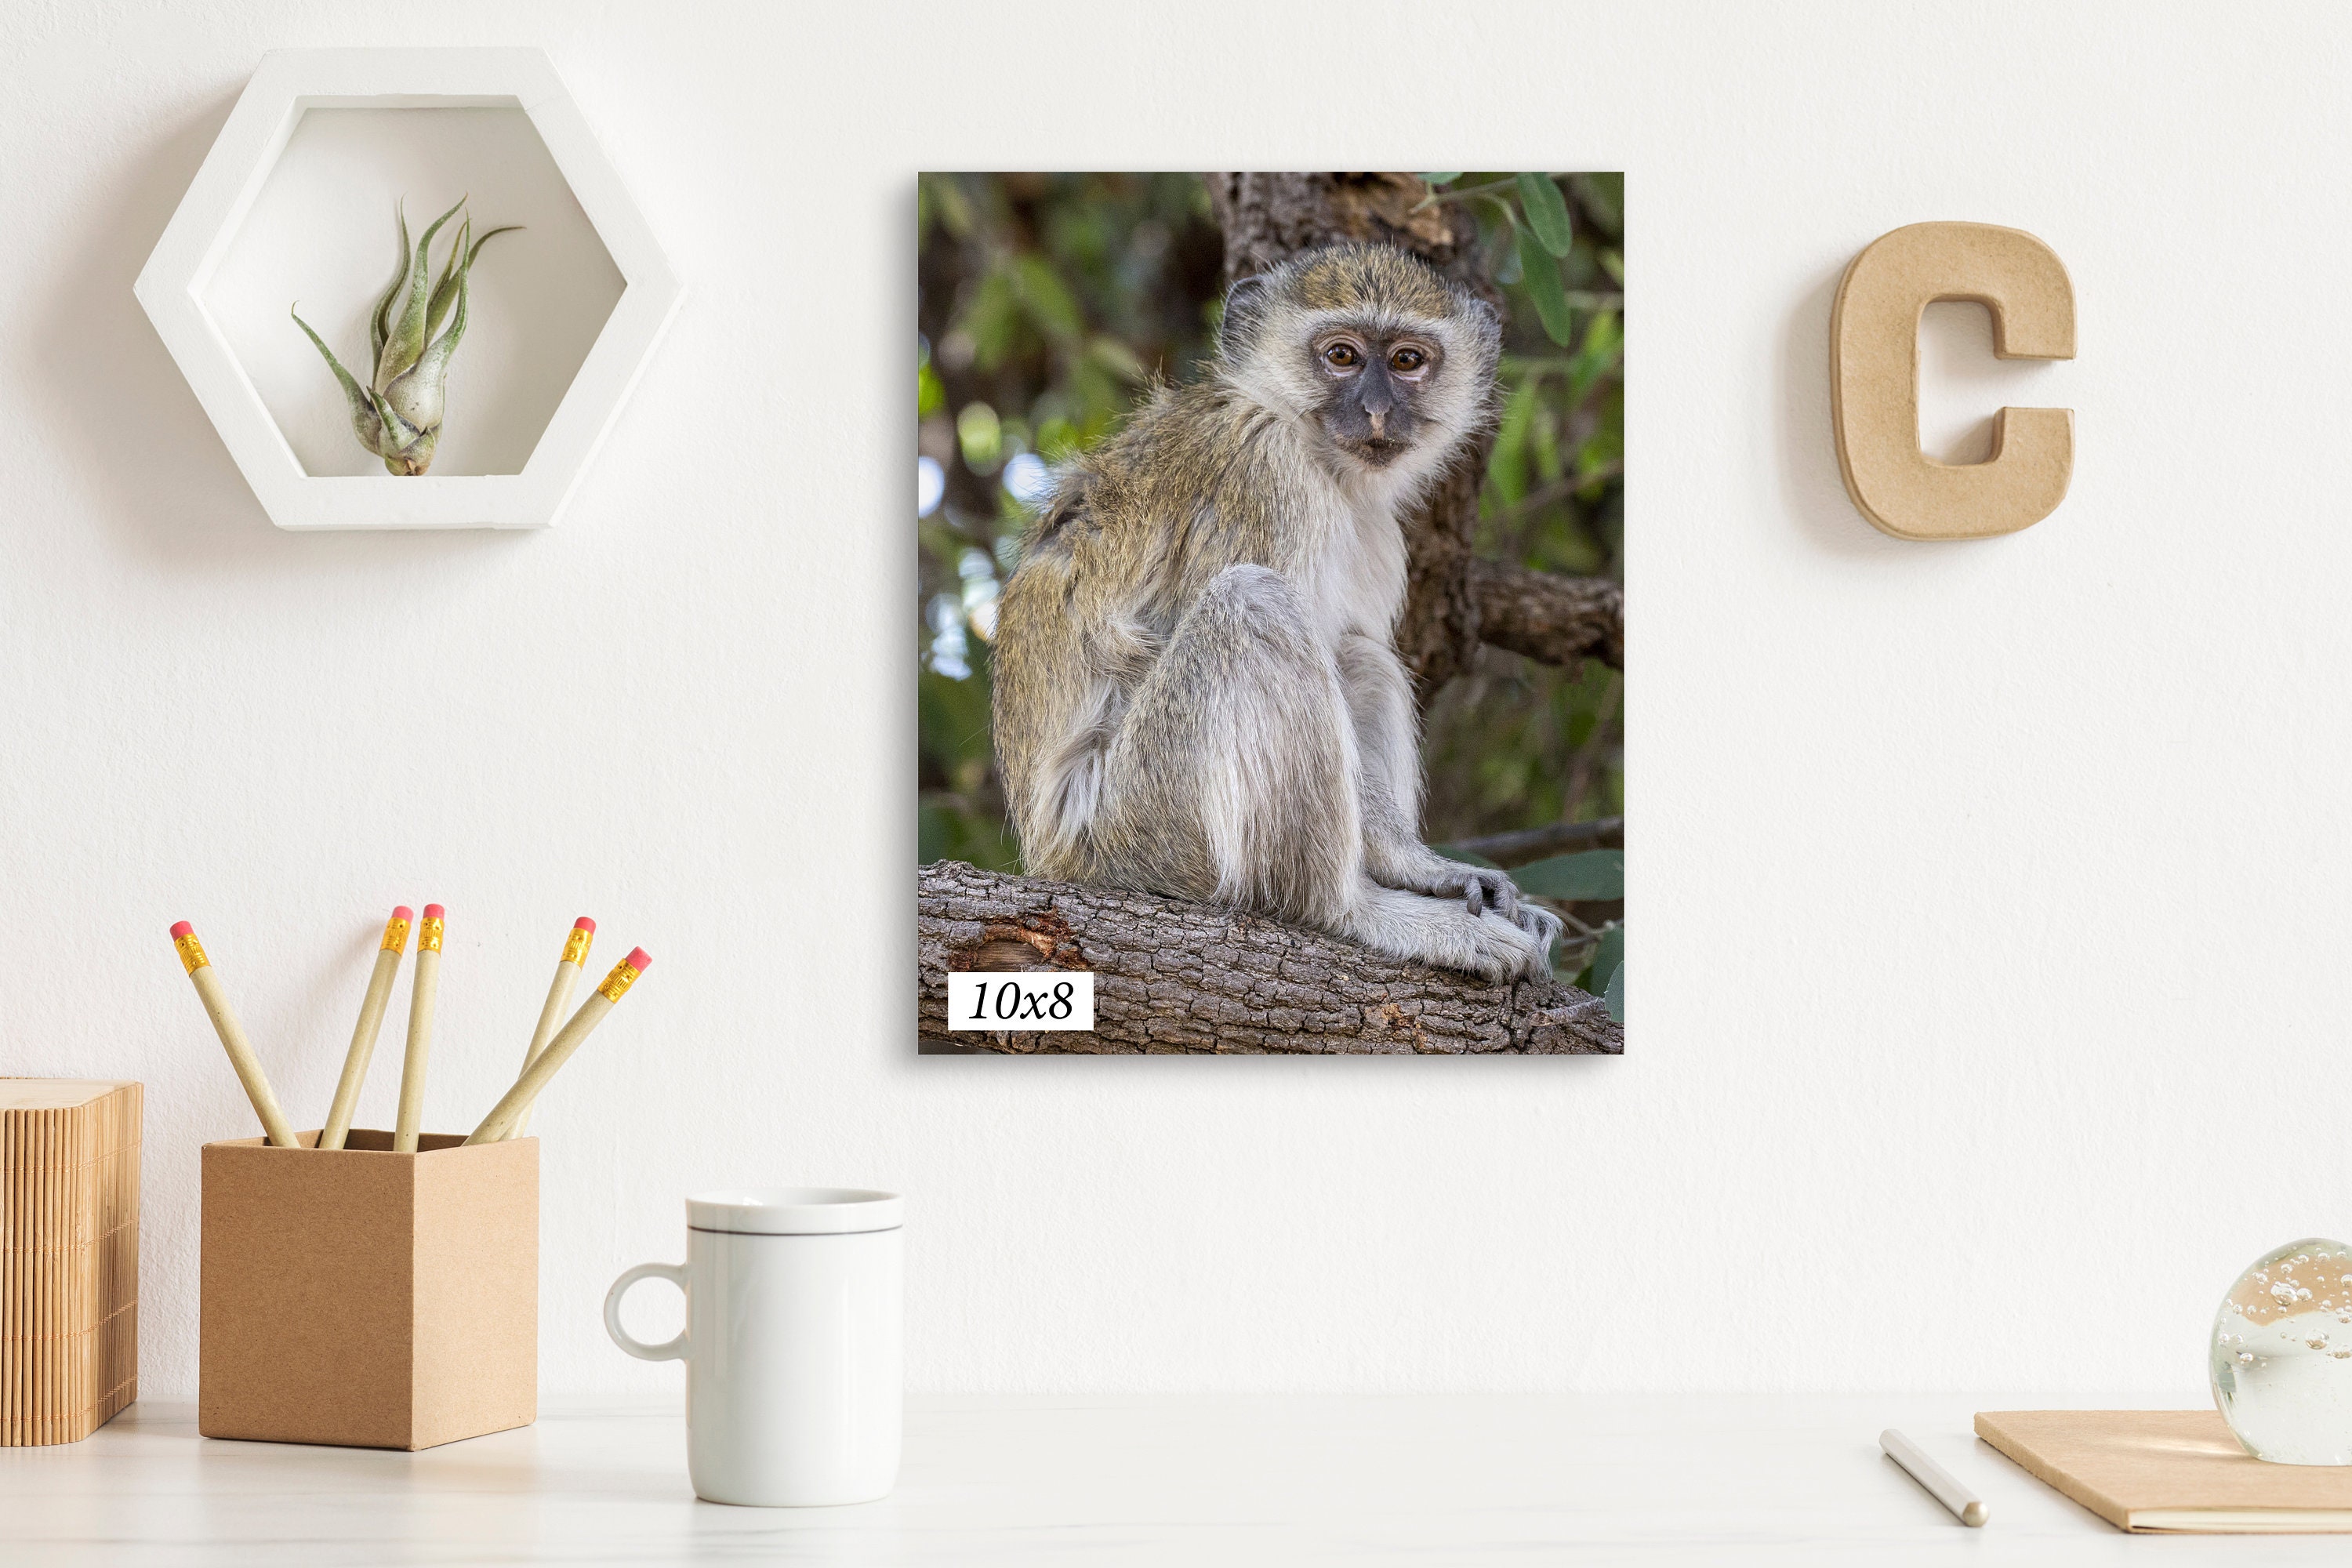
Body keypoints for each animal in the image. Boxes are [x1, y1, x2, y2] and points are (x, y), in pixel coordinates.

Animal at [990, 243, 1563, 982]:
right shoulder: (1266, 472)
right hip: (1137, 829)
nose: (1377, 411)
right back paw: (1354, 911)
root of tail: (1051, 862)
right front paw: (1420, 869)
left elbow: (1350, 655)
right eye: (1341, 356)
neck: (1311, 449)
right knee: (1253, 605)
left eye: (1407, 360)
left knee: (1359, 657)